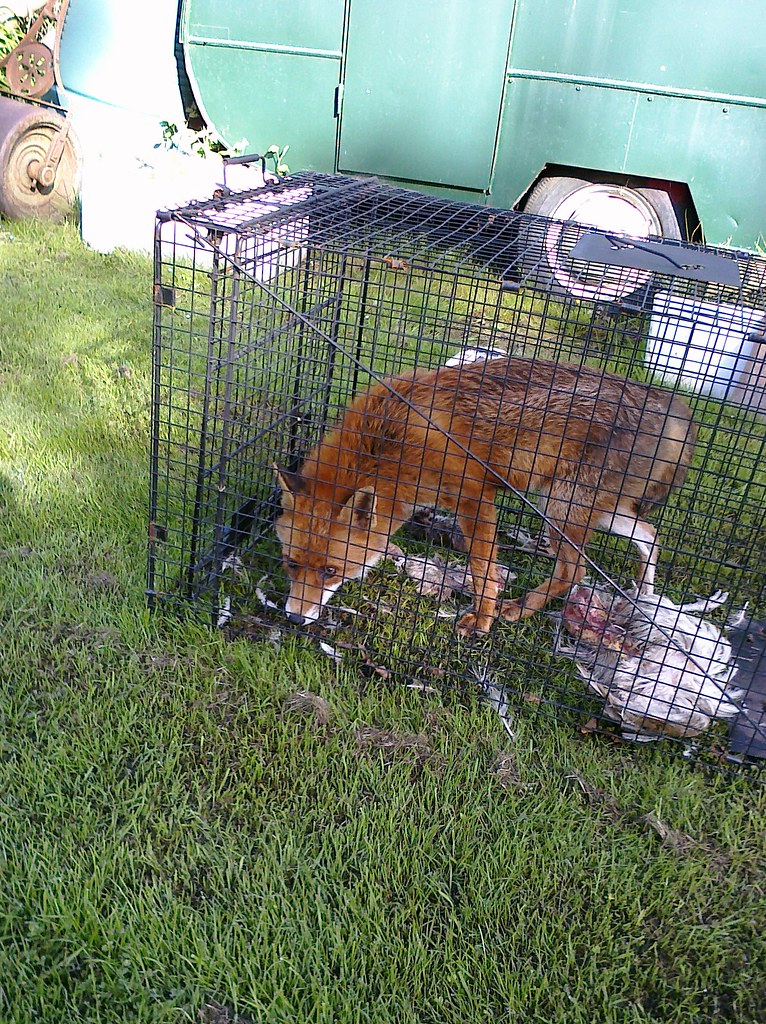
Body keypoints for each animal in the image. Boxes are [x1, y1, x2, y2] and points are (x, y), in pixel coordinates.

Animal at [274, 356, 696, 636]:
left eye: (331, 571)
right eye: (292, 564)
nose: (294, 618)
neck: (387, 443)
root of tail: (667, 403)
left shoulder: (475, 498)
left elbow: (482, 568)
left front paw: (483, 617)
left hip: (560, 507)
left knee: (574, 570)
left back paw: (523, 608)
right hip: (588, 508)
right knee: (650, 537)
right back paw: (645, 599)